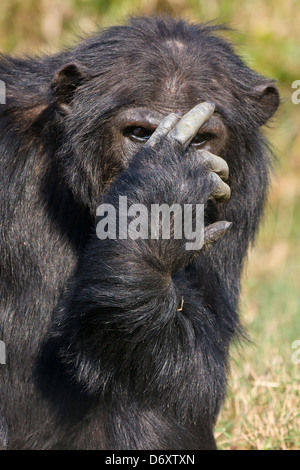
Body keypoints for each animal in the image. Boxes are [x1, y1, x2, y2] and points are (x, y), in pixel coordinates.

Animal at [0, 16, 278, 450]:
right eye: (140, 133)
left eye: (202, 138)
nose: (182, 156)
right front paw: (164, 190)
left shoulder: (244, 193)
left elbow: (197, 370)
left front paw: (156, 218)